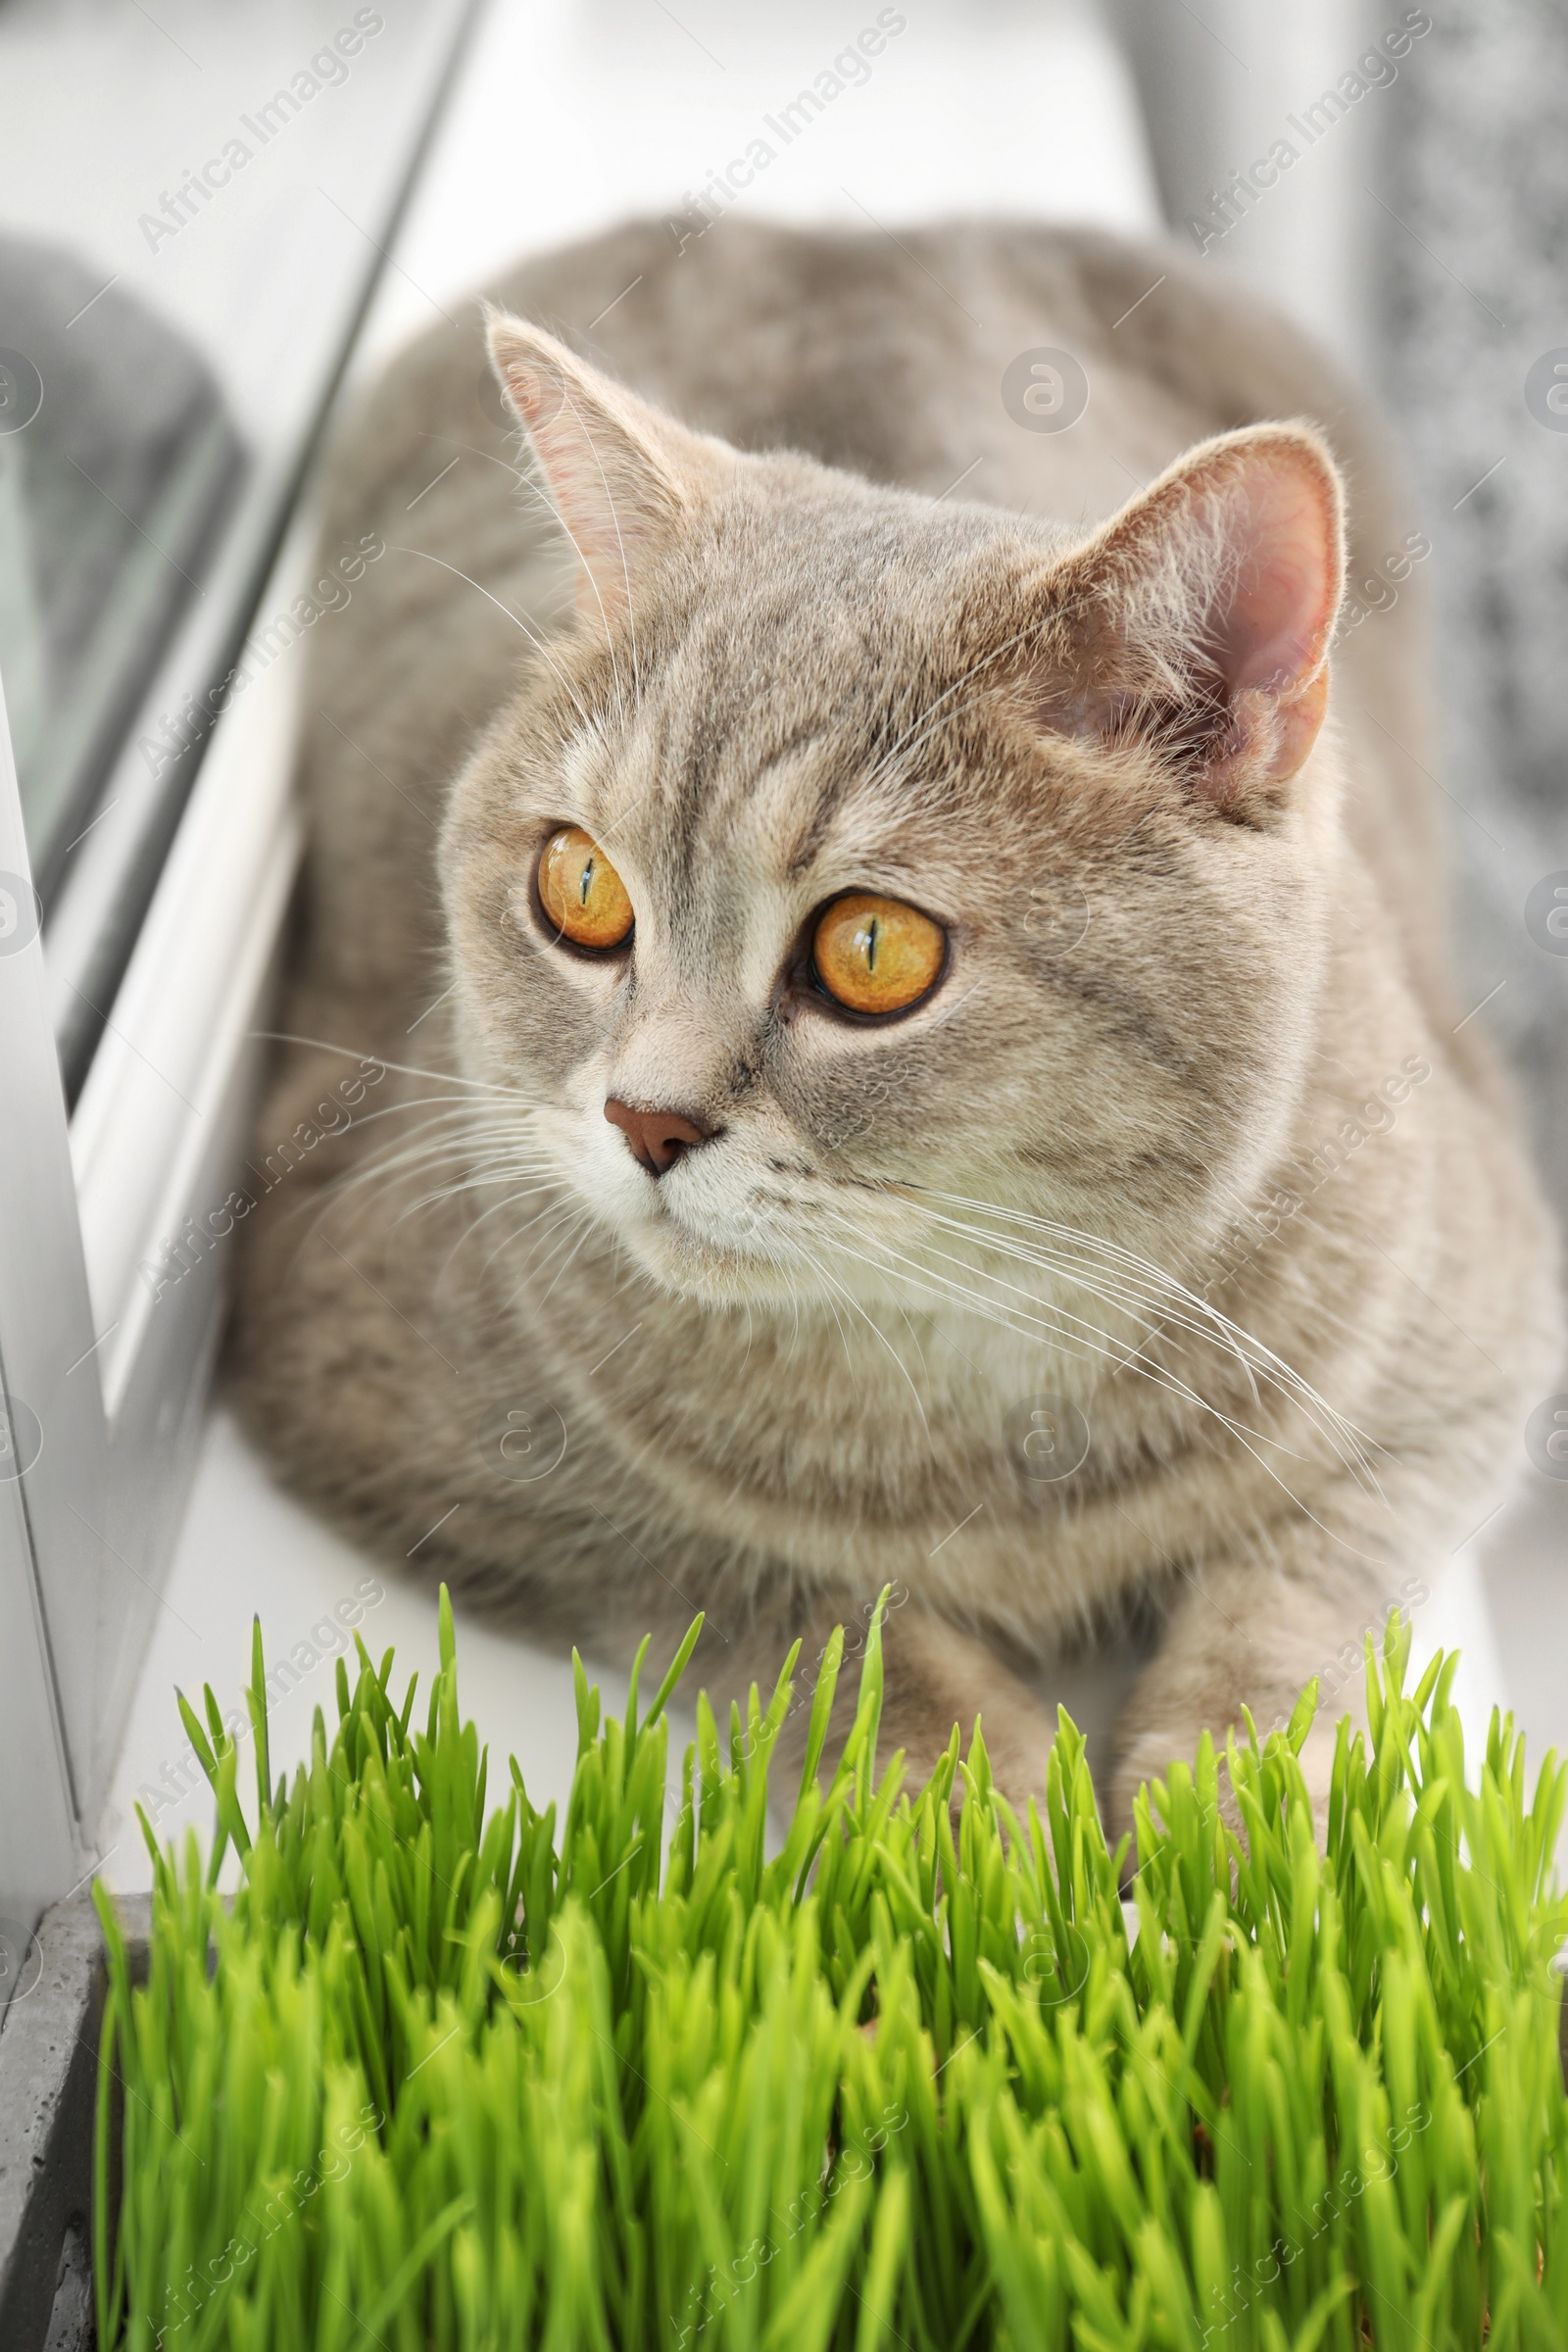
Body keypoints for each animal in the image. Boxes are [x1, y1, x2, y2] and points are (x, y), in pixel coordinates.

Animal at [226, 216, 1560, 1835]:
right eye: (579, 887)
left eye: (872, 950)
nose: (643, 1118)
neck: (979, 1376)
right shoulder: (359, 1359)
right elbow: (793, 1605)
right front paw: (979, 1806)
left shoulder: (1466, 1347)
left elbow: (1294, 1599)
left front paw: (1233, 1824)